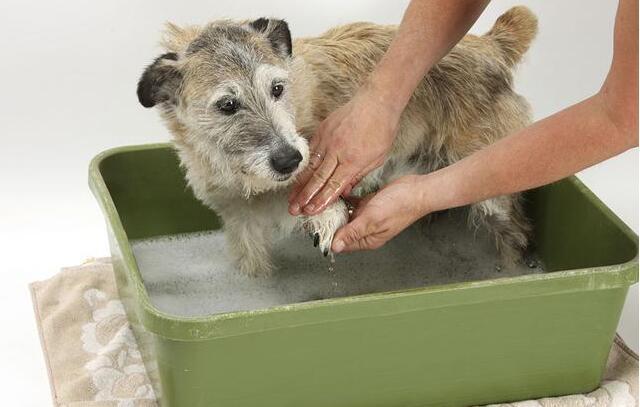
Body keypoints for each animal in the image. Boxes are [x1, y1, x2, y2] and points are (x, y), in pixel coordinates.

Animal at [138, 7, 536, 278]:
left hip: (492, 190)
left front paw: (326, 218)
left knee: (515, 236)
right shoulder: (242, 227)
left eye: (277, 88)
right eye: (227, 105)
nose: (290, 160)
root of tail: (490, 45)